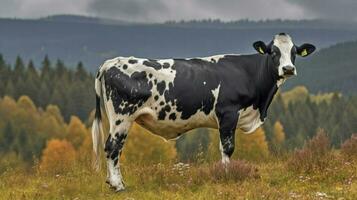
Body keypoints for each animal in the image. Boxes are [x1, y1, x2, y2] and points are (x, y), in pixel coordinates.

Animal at [92, 32, 314, 191]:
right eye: (273, 52)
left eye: (294, 52)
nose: (288, 69)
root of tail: (112, 62)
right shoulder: (228, 113)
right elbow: (227, 148)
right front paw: (226, 176)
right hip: (122, 116)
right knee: (113, 147)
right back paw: (118, 185)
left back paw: (113, 182)